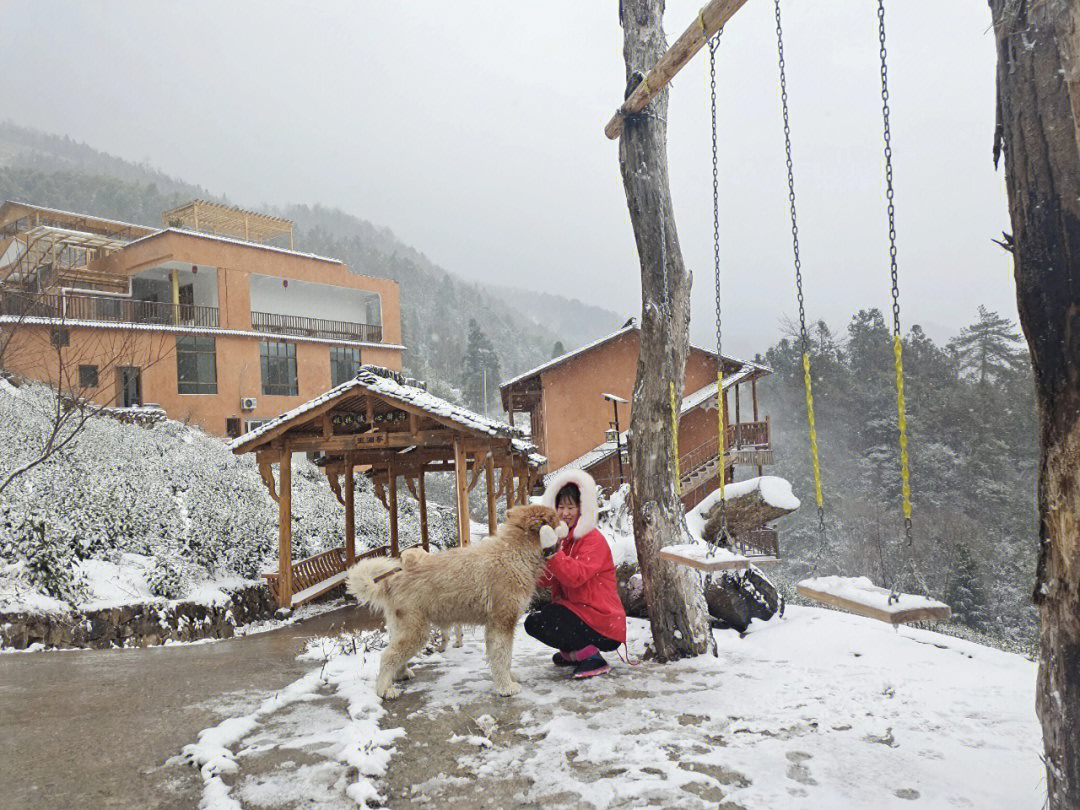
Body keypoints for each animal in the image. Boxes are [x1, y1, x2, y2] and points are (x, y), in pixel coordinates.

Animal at [345, 505, 565, 699]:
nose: (566, 524)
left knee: (394, 653)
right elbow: (502, 656)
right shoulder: (502, 623)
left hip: (402, 629)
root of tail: (390, 581)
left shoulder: (497, 625)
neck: (513, 554)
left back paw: (401, 675)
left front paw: (508, 679)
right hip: (415, 631)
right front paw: (506, 687)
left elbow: (503, 657)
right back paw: (384, 690)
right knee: (388, 656)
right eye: (555, 519)